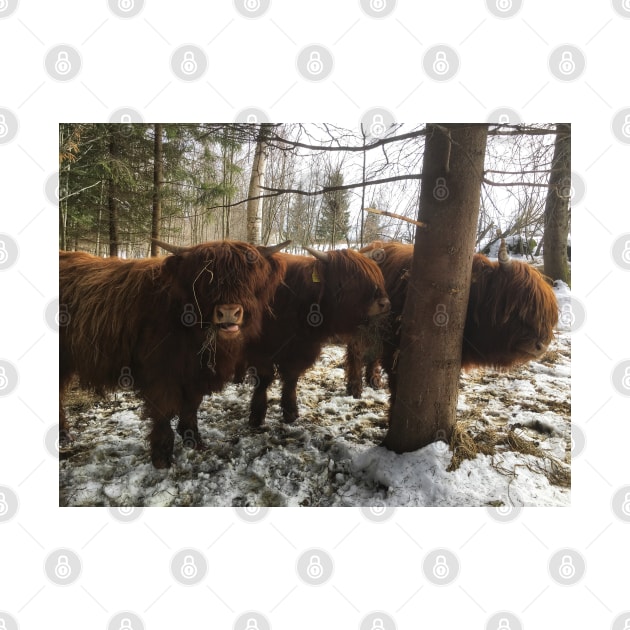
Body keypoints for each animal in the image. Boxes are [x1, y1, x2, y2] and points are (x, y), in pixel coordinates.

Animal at [59, 239, 288, 466]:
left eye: (249, 277)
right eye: (205, 279)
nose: (229, 312)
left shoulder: (196, 374)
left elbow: (191, 406)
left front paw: (193, 440)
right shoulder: (161, 374)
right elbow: (164, 411)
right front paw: (162, 456)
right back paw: (64, 435)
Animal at [348, 241, 560, 400]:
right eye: (516, 309)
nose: (541, 345)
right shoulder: (397, 350)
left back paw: (373, 380)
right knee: (355, 352)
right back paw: (355, 388)